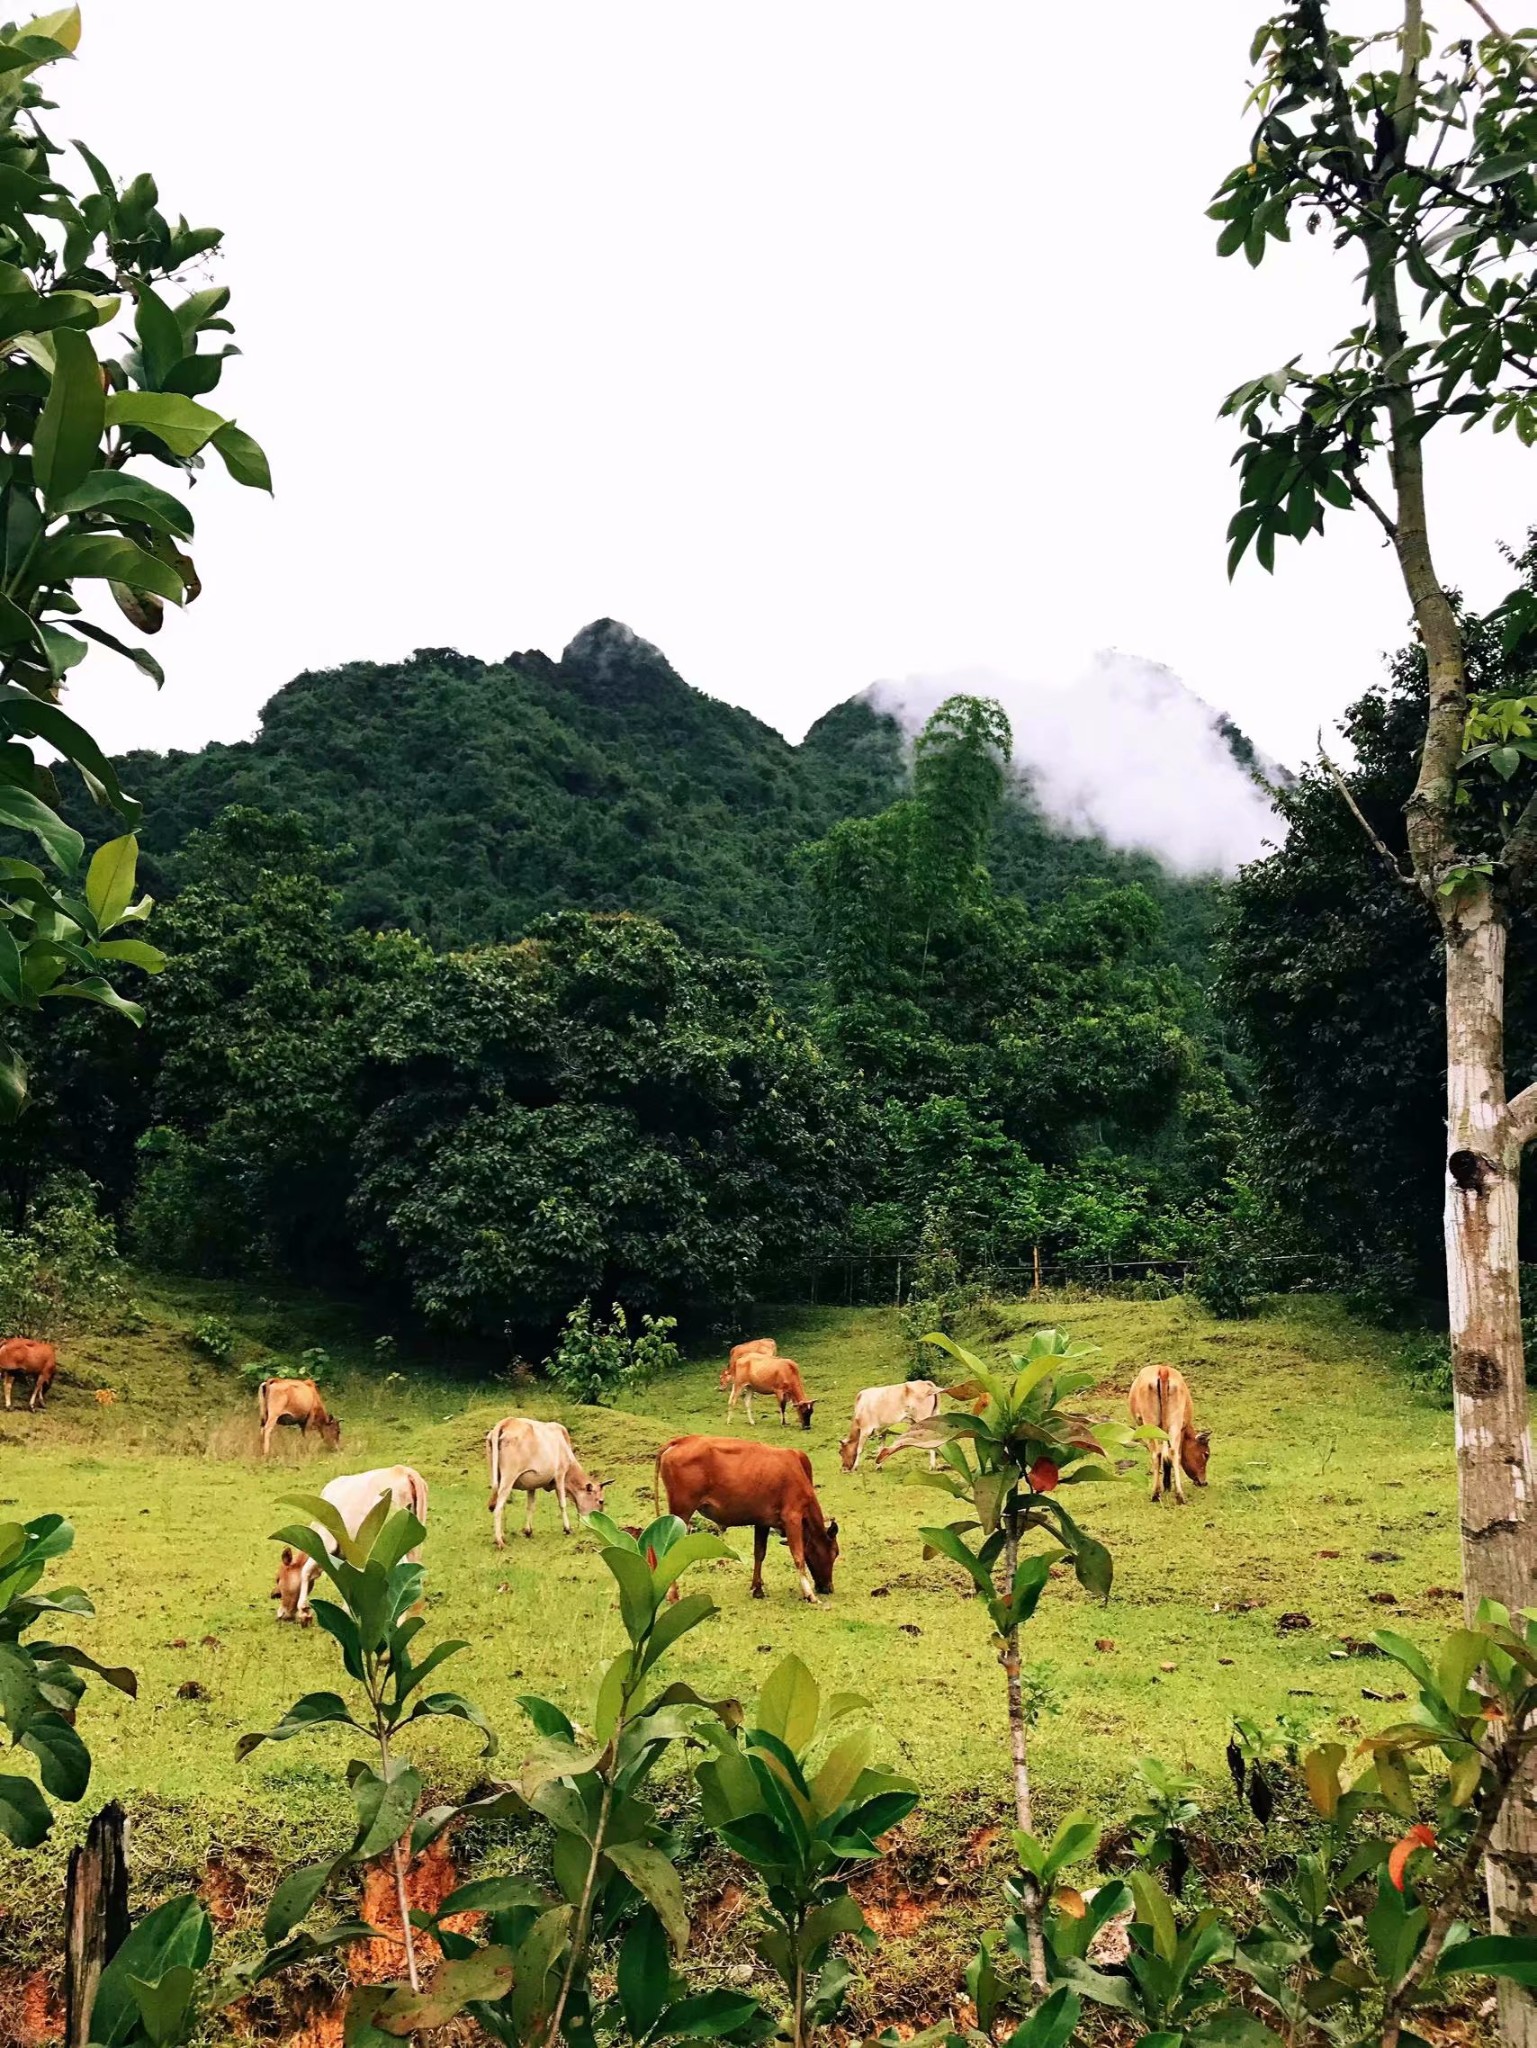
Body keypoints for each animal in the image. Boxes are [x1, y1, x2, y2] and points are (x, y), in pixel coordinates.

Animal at [274, 1466, 430, 1622]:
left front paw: (304, 1610)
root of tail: (403, 1470)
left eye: (278, 1579)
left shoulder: (326, 1542)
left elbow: (306, 1571)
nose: (281, 1613)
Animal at [651, 1433, 836, 1605]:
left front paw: (757, 1589)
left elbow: (759, 1553)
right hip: (681, 1512)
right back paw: (673, 1595)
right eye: (835, 1553)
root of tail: (682, 1440)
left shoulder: (762, 1522)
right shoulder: (793, 1517)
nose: (828, 1588)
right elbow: (798, 1556)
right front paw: (810, 1595)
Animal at [1131, 1359, 1213, 1507]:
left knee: (1158, 1453)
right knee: (1171, 1452)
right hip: (1171, 1424)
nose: (1204, 1482)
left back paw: (1156, 1494)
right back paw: (1177, 1495)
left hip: (1153, 1425)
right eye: (1206, 1454)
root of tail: (1163, 1370)